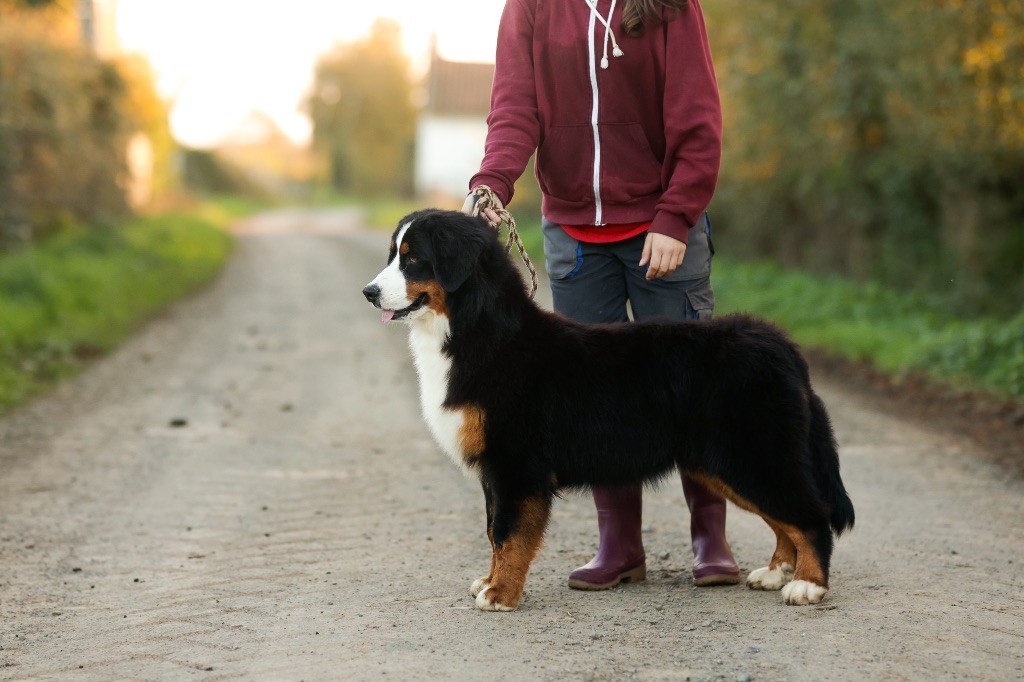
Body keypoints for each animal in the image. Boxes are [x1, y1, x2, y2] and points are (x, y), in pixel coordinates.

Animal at [362, 206, 856, 610]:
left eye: (412, 259)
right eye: (393, 254)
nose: (368, 292)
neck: (475, 330)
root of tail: (780, 343)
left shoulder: (516, 465)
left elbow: (508, 533)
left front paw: (501, 593)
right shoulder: (495, 470)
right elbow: (492, 531)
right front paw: (488, 581)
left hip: (751, 454)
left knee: (811, 515)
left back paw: (808, 585)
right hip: (725, 462)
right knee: (785, 519)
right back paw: (775, 572)